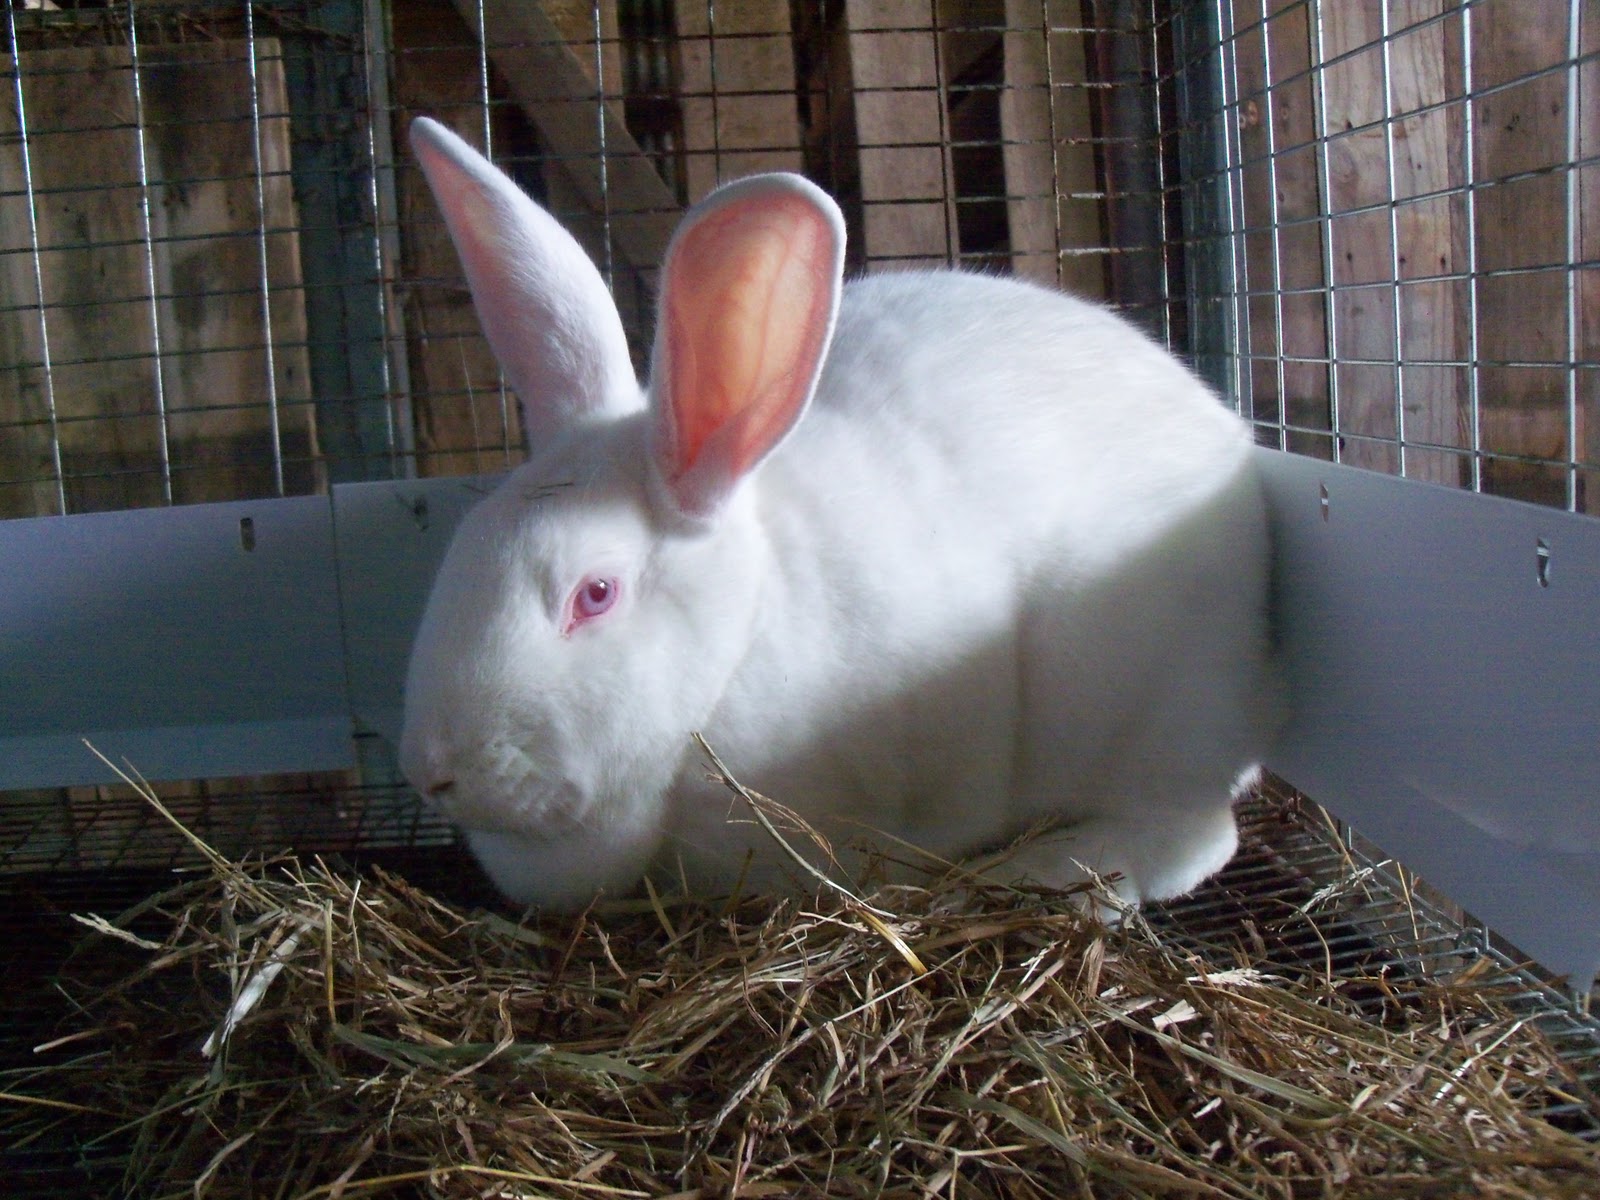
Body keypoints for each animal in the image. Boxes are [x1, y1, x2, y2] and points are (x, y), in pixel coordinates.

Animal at [399, 115, 1284, 912]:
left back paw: (1039, 872)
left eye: (596, 594)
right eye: (462, 549)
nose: (431, 771)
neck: (734, 649)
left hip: (1152, 715)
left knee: (1195, 835)